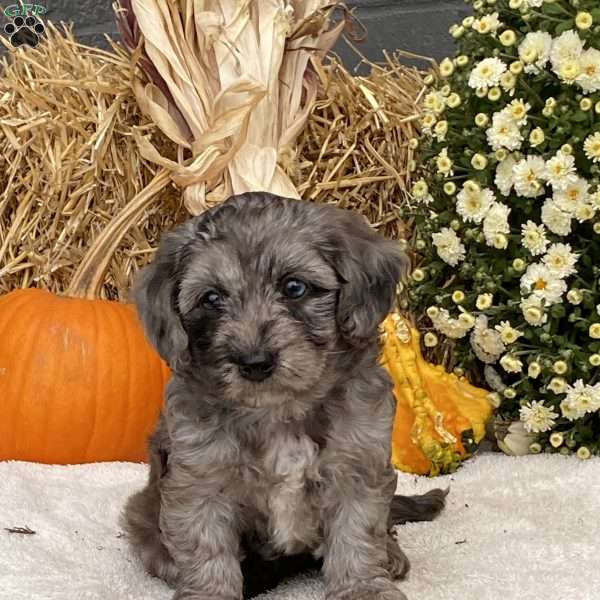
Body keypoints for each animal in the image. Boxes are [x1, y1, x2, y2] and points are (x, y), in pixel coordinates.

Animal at [124, 192, 446, 600]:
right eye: (211, 298)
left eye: (294, 288)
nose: (254, 362)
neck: (279, 410)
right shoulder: (200, 477)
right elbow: (205, 549)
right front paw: (210, 592)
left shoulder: (357, 461)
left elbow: (357, 535)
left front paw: (363, 588)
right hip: (144, 509)